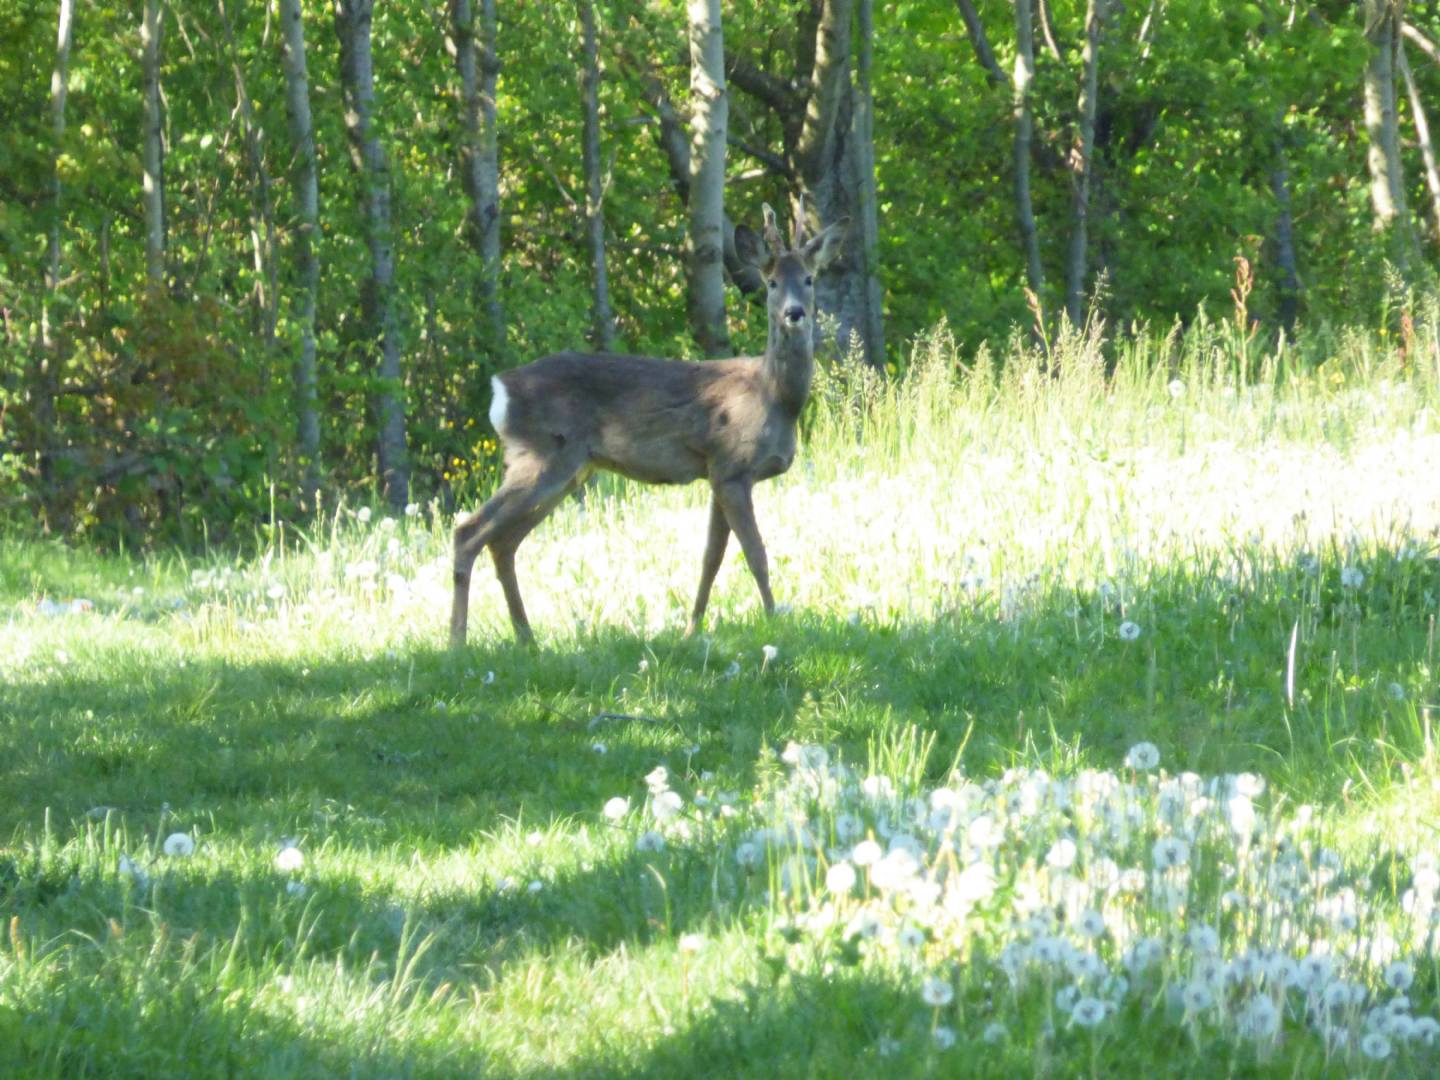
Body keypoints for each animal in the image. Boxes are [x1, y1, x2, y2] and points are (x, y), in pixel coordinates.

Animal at [449, 201, 840, 642]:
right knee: (468, 532)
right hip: (541, 456)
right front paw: (776, 622)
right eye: (771, 282)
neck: (774, 396)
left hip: (567, 470)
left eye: (809, 279)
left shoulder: (717, 473)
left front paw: (691, 630)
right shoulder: (731, 467)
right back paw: (458, 640)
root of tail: (500, 388)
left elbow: (712, 557)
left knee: (503, 543)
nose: (795, 313)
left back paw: (527, 639)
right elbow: (754, 552)